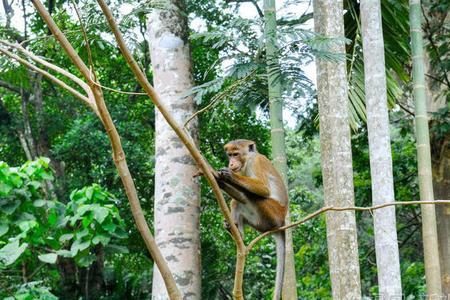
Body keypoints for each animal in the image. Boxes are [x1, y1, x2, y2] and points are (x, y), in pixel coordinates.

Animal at [215, 139, 286, 298]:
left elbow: (264, 189)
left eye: (236, 154)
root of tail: (283, 221)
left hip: (273, 214)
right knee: (238, 200)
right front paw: (220, 181)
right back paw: (236, 231)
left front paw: (229, 176)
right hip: (259, 221)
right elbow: (239, 195)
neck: (247, 160)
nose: (231, 163)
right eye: (229, 155)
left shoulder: (256, 162)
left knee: (254, 196)